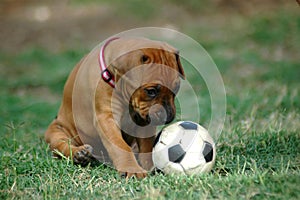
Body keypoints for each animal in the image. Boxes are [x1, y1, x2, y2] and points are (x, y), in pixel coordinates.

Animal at [44, 37, 184, 178]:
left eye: (177, 87)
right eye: (151, 91)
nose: (168, 117)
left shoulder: (143, 119)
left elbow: (147, 145)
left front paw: (150, 166)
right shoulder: (106, 118)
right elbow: (120, 145)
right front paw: (132, 168)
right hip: (56, 132)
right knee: (62, 145)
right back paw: (80, 154)